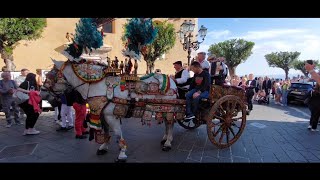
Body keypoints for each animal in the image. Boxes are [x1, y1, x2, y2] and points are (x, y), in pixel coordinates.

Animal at [44, 60, 180, 162]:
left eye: (51, 75)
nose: (45, 95)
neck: (98, 86)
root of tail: (171, 80)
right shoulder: (102, 114)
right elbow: (106, 132)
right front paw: (103, 147)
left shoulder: (111, 116)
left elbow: (118, 134)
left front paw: (122, 153)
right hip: (162, 108)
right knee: (167, 123)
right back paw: (165, 138)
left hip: (169, 108)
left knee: (170, 123)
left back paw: (168, 142)